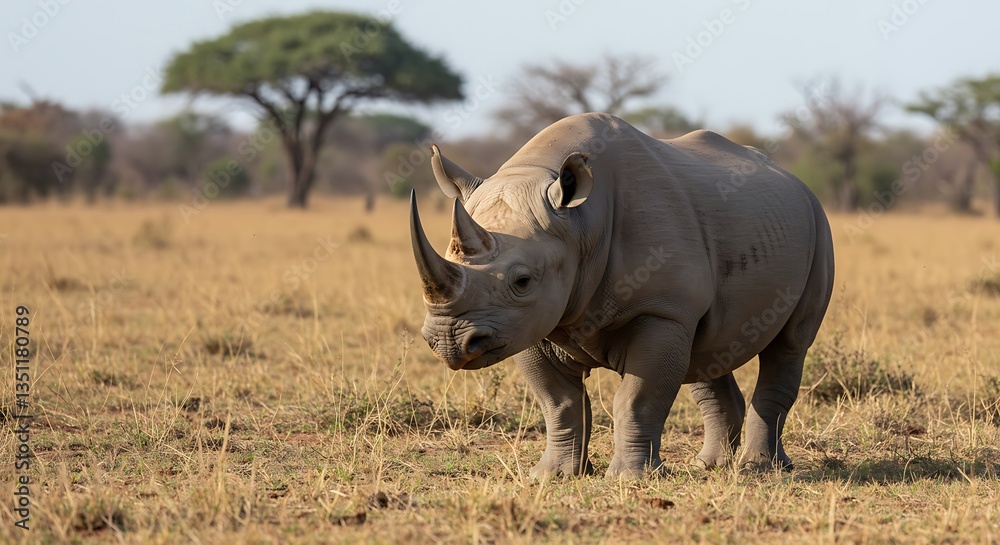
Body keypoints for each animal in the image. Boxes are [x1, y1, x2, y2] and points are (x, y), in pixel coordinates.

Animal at [409, 113, 834, 479]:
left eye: (523, 281)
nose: (448, 341)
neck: (580, 223)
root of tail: (795, 180)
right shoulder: (529, 324)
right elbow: (558, 403)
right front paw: (555, 476)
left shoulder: (660, 310)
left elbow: (635, 399)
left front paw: (630, 478)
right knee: (706, 351)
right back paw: (709, 466)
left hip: (818, 223)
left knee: (790, 344)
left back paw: (762, 468)